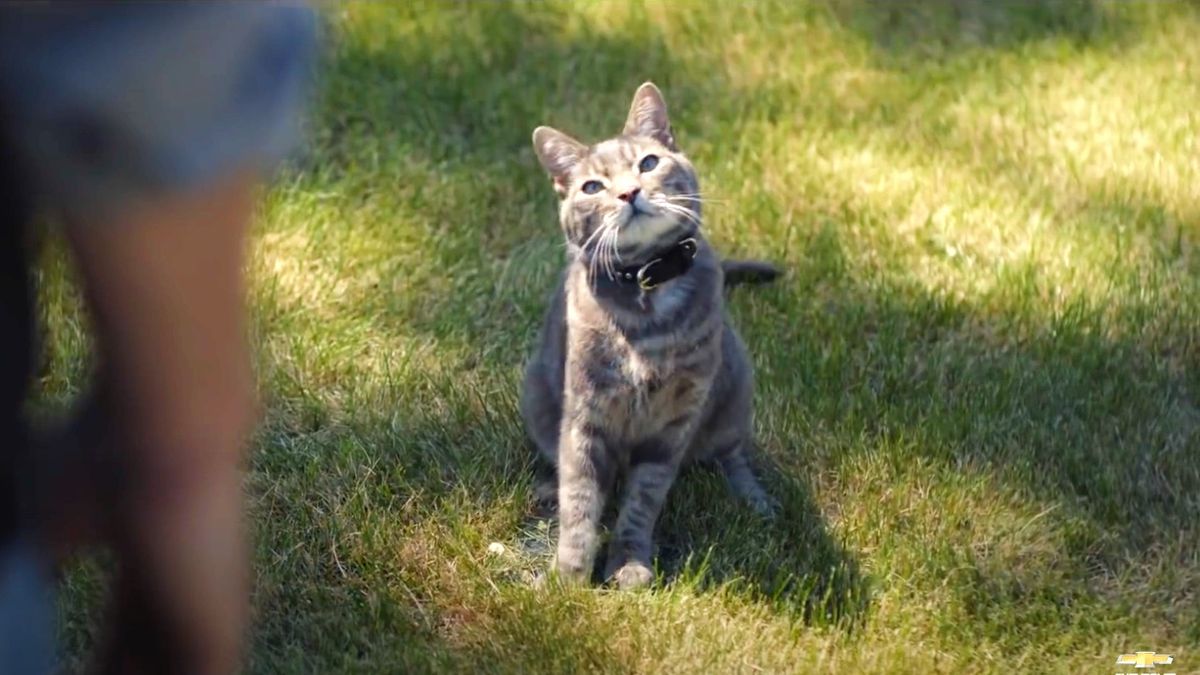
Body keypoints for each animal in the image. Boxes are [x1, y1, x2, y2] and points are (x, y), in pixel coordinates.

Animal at [520, 82, 782, 588]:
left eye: (647, 163)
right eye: (592, 187)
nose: (629, 192)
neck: (646, 290)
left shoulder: (673, 423)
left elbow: (643, 500)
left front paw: (628, 562)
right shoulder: (585, 413)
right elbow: (579, 500)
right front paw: (568, 577)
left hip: (736, 382)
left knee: (732, 453)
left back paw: (753, 498)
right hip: (536, 391)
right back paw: (546, 488)